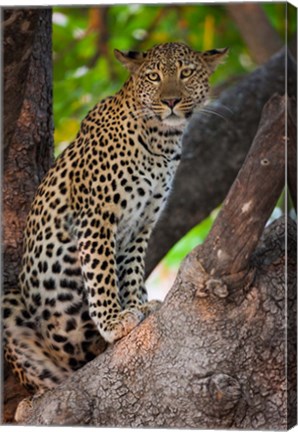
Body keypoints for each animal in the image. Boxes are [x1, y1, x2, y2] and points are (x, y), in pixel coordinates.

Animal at [2, 42, 227, 394]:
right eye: (153, 76)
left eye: (186, 73)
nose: (171, 101)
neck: (162, 140)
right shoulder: (97, 216)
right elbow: (101, 273)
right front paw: (113, 321)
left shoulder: (141, 224)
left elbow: (130, 271)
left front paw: (137, 306)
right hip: (14, 306)